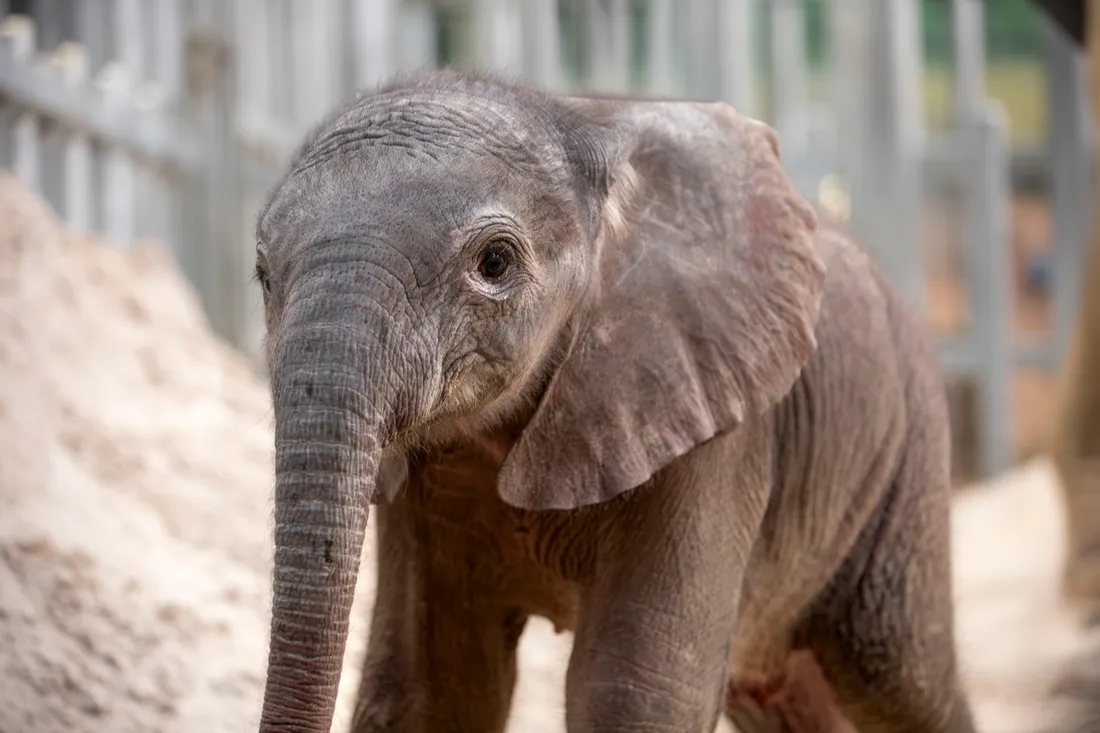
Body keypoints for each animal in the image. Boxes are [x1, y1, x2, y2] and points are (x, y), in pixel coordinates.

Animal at [252, 69, 976, 733]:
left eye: (495, 263)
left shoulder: (707, 417)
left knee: (902, 680)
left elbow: (635, 692)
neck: (568, 120)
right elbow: (435, 685)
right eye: (261, 274)